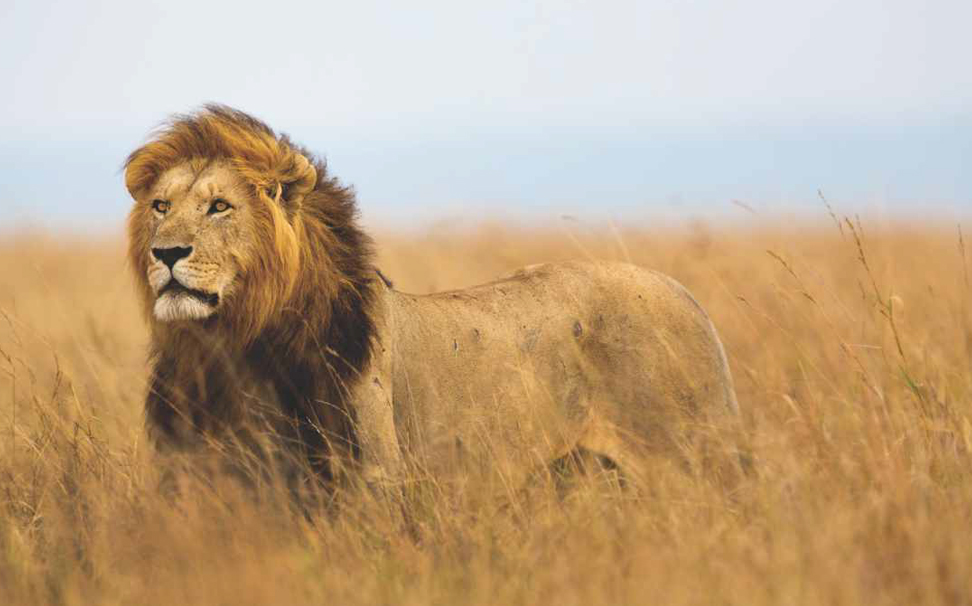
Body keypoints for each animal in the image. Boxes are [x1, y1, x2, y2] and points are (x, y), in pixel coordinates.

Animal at [124, 105, 741, 494]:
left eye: (219, 207)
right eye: (160, 206)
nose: (166, 253)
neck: (231, 346)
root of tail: (687, 295)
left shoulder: (370, 480)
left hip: (692, 462)